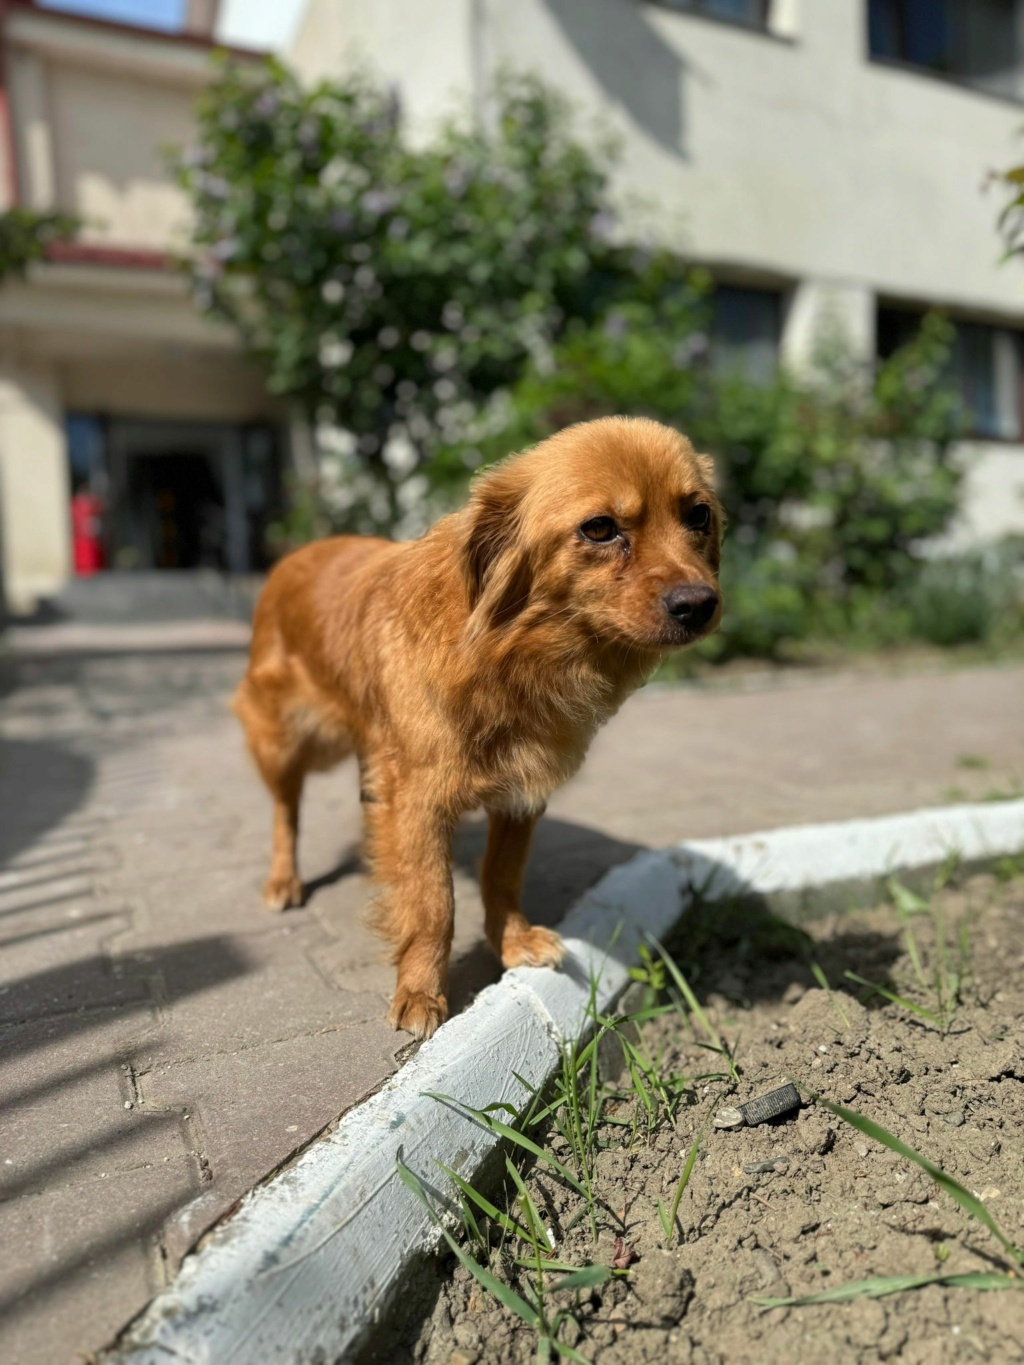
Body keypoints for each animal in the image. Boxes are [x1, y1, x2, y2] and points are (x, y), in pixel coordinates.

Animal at [236, 412, 726, 1031]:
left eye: (698, 515)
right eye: (599, 529)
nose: (700, 604)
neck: (512, 657)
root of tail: (295, 555)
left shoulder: (521, 792)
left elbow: (501, 873)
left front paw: (512, 942)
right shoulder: (418, 801)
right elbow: (433, 902)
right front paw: (421, 991)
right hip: (287, 740)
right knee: (286, 810)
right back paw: (284, 878)